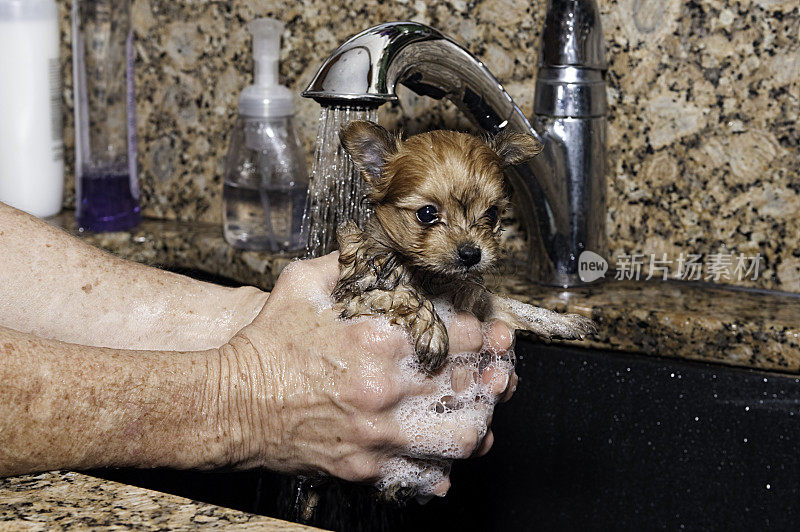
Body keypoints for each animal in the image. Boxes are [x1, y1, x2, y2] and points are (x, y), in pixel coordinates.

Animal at [330, 120, 592, 372]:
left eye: (492, 213)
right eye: (427, 213)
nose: (471, 254)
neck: (432, 277)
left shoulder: (472, 297)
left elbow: (513, 306)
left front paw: (561, 320)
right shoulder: (354, 297)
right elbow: (405, 294)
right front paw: (433, 332)